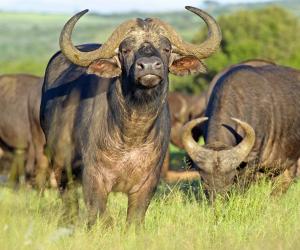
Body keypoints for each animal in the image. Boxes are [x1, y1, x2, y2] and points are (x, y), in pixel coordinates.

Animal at [40, 5, 220, 226]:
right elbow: (102, 218)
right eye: (126, 50)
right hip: (60, 169)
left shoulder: (148, 182)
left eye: (166, 49)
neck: (131, 133)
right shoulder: (93, 180)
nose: (149, 66)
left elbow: (134, 219)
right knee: (69, 205)